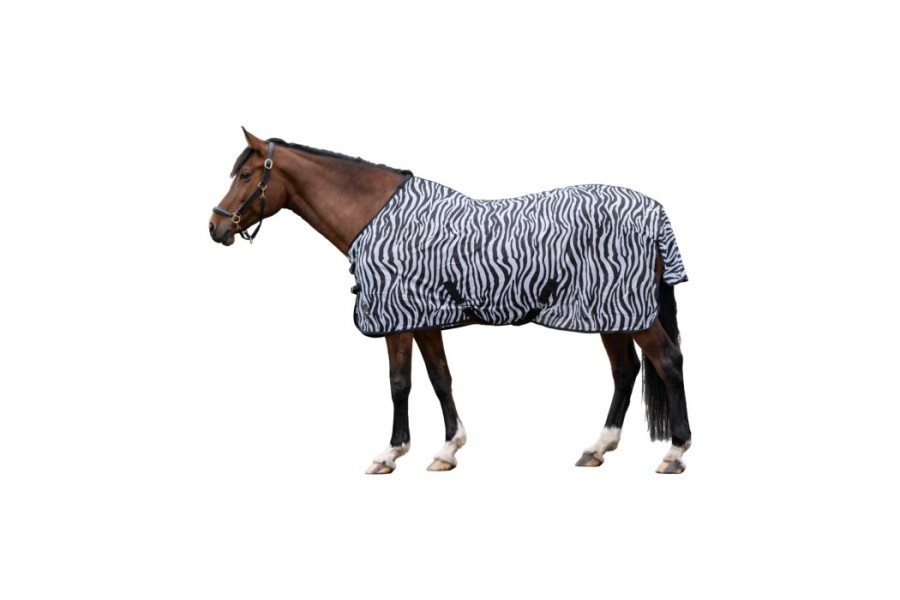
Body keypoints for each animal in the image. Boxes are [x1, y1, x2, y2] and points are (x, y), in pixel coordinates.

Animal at [209, 128, 692, 474]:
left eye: (246, 176)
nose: (216, 227)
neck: (378, 219)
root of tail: (655, 213)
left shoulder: (399, 319)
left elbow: (399, 383)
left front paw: (391, 453)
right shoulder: (425, 320)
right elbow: (440, 378)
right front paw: (448, 449)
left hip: (629, 313)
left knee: (667, 361)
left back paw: (675, 452)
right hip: (611, 314)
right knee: (625, 371)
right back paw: (598, 448)